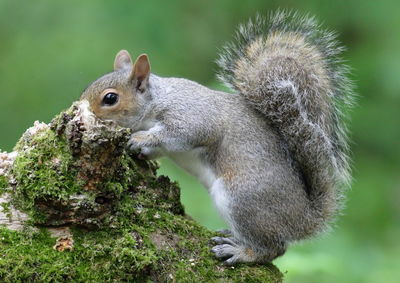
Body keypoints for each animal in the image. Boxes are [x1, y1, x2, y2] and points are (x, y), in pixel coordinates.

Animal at [80, 10, 354, 264]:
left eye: (110, 98)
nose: (78, 108)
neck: (157, 100)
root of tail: (305, 218)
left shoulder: (192, 114)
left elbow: (182, 132)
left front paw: (139, 139)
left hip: (243, 199)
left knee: (274, 248)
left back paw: (242, 252)